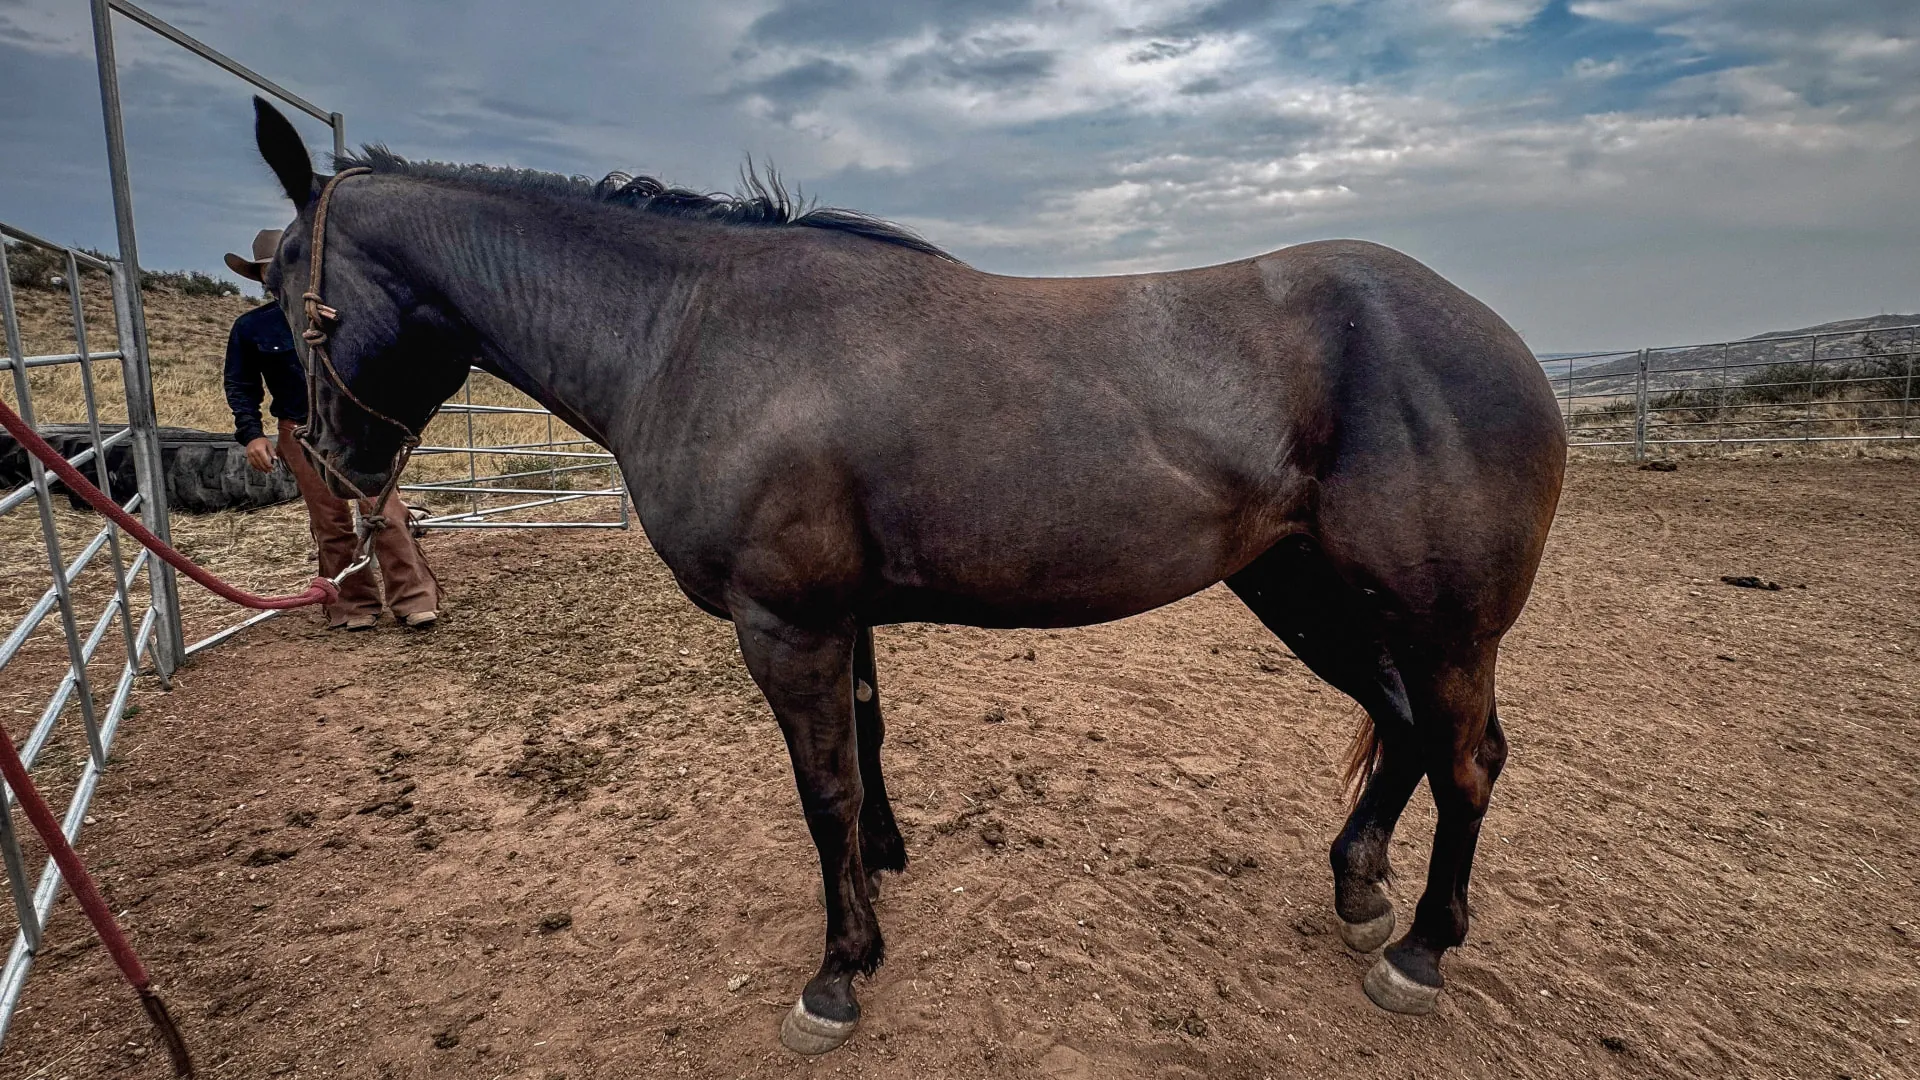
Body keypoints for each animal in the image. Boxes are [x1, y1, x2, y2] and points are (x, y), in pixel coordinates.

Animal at [243, 96, 1565, 1052]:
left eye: (289, 285)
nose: (335, 455)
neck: (690, 328)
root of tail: (1498, 338)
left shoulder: (783, 624)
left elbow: (821, 785)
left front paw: (838, 974)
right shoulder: (840, 617)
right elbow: (865, 745)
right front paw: (882, 871)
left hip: (1439, 618)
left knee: (1467, 758)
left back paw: (1419, 952)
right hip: (1313, 592)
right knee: (1405, 728)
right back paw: (1358, 888)